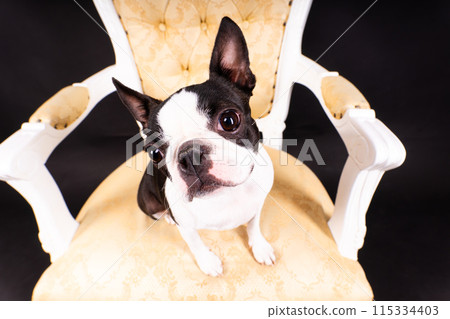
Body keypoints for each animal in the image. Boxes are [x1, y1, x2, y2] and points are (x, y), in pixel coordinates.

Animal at [112, 16, 274, 278]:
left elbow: (253, 225)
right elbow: (195, 243)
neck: (225, 196)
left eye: (229, 120)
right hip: (146, 198)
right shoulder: (186, 227)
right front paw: (208, 262)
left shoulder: (258, 204)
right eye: (155, 153)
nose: (190, 156)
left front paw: (259, 246)